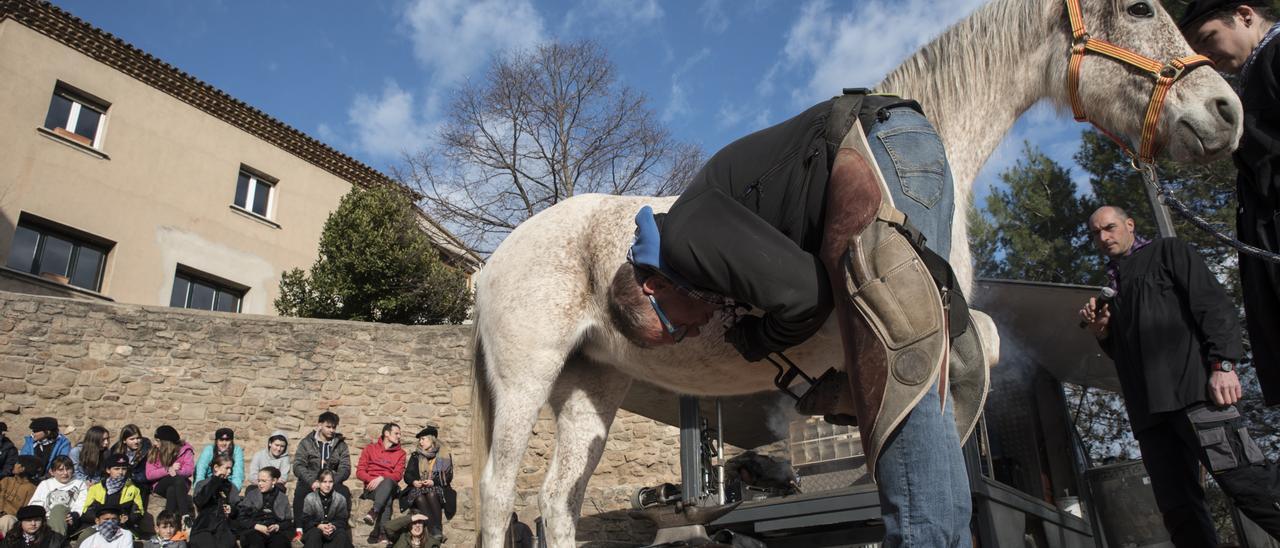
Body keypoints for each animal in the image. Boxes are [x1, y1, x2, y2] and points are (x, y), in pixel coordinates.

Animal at [471, 0, 1239, 542]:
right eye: (1138, 8)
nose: (1225, 110)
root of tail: (492, 264)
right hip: (525, 382)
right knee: (499, 495)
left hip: (591, 389)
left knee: (556, 503)